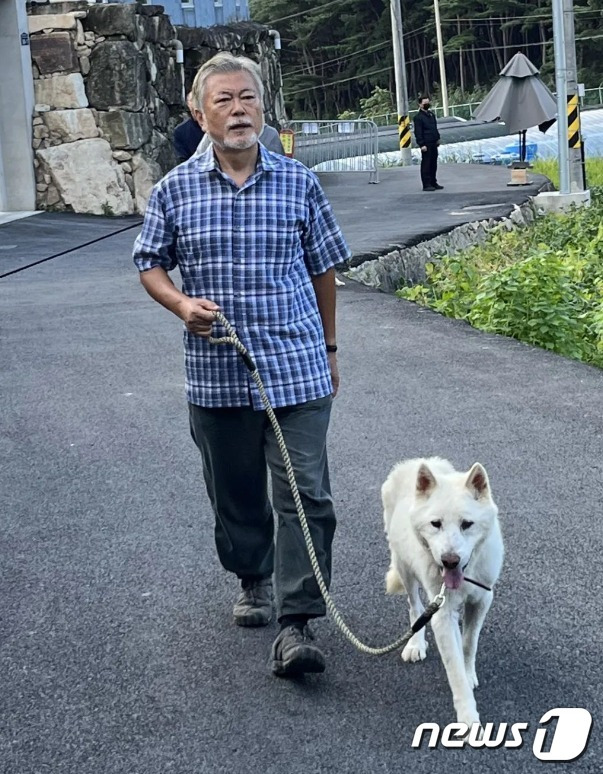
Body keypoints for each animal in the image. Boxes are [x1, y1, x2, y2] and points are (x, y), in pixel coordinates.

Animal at [382, 458, 504, 732]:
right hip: (405, 569)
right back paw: (416, 644)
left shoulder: (482, 600)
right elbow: (454, 670)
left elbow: (469, 643)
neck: (465, 573)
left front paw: (469, 674)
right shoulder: (441, 614)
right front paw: (468, 718)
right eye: (436, 524)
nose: (450, 561)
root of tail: (414, 462)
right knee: (415, 609)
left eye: (466, 524)